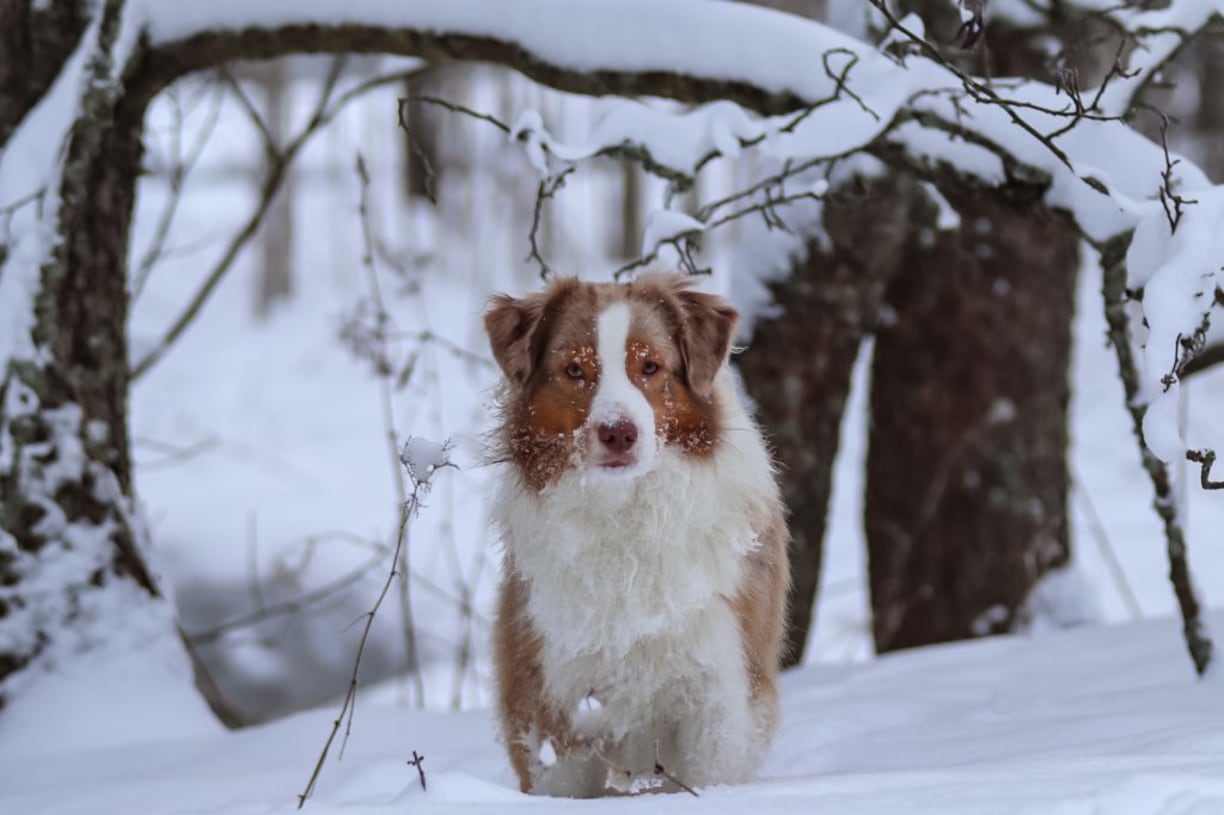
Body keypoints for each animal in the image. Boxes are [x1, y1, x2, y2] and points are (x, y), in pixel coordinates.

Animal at [482, 271, 788, 792]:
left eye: (650, 366)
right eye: (574, 371)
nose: (618, 432)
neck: (625, 513)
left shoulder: (719, 699)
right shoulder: (554, 699)